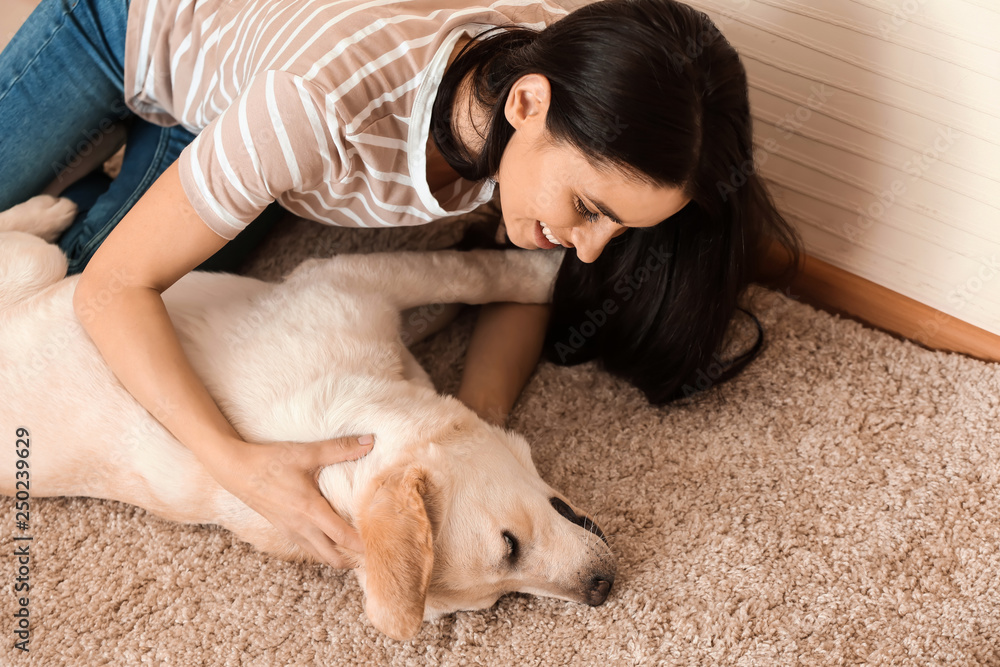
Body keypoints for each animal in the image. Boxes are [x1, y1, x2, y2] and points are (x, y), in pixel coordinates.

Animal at [0, 197, 612, 640]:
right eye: (508, 553)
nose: (603, 589)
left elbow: (469, 279)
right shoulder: (353, 277)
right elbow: (476, 274)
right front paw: (552, 271)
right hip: (37, 266)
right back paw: (49, 209)